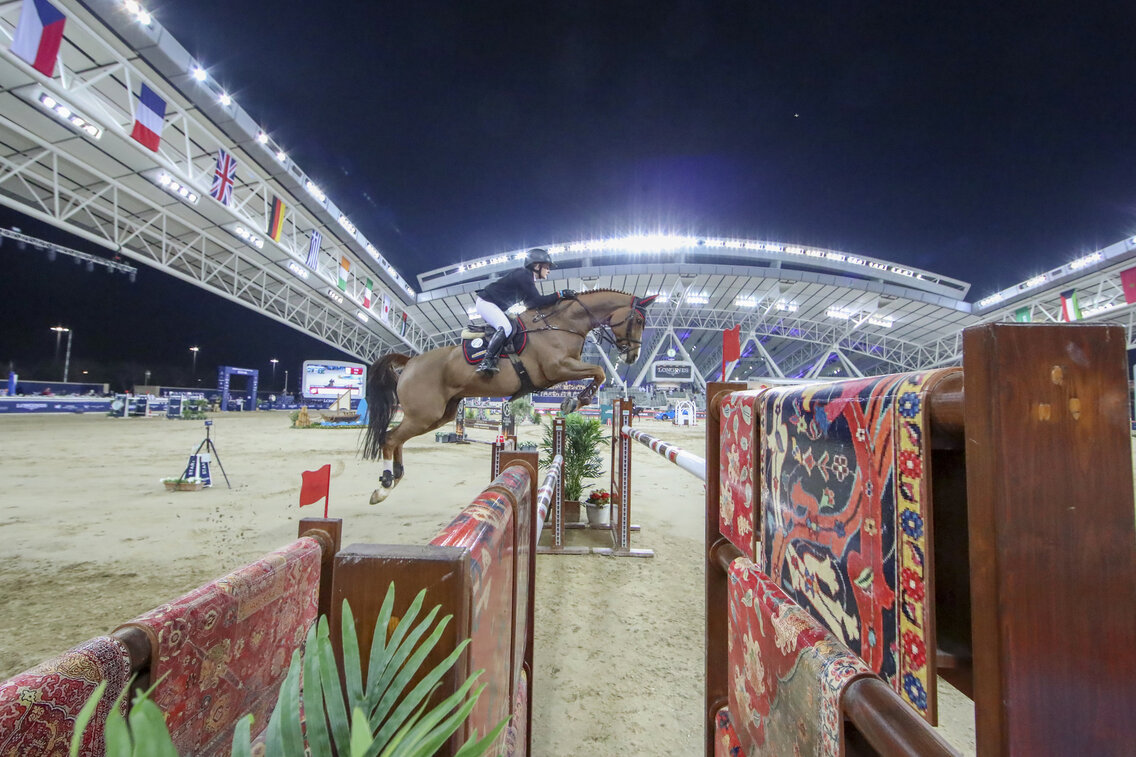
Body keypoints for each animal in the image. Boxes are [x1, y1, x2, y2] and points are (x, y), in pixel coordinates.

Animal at [358, 288, 663, 500]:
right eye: (637, 319)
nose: (632, 357)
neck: (563, 323)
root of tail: (411, 361)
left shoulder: (562, 370)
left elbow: (598, 373)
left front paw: (575, 400)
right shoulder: (557, 368)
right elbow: (599, 371)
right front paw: (576, 400)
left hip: (439, 415)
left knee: (397, 438)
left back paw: (394, 478)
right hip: (424, 413)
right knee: (390, 438)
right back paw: (384, 485)